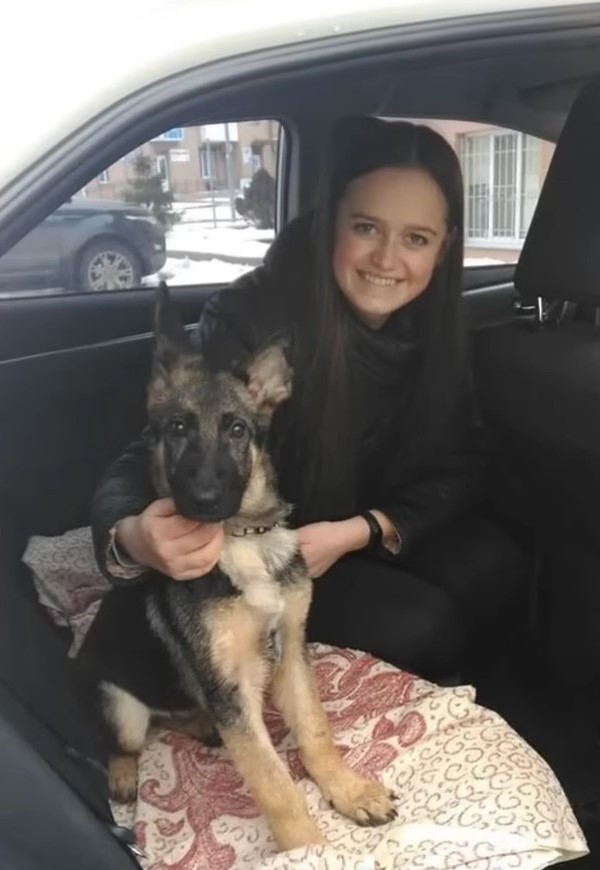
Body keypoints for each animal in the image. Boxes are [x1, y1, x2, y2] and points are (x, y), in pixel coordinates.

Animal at [81, 286, 398, 852]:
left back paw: (201, 725)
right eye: (177, 429)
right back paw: (123, 773)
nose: (205, 501)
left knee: (176, 717)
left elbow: (315, 731)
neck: (242, 539)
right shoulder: (232, 688)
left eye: (236, 429)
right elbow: (273, 782)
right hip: (121, 706)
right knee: (132, 739)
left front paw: (349, 790)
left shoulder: (289, 649)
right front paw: (307, 850)